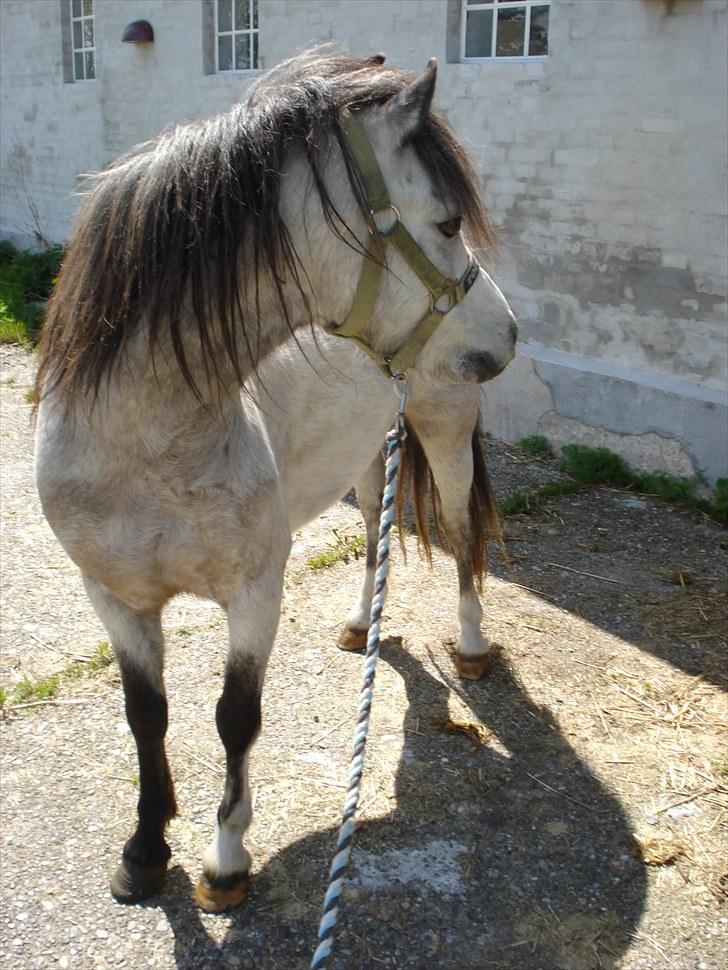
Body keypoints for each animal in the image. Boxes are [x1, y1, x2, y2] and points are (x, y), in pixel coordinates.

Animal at [34, 50, 517, 913]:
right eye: (446, 223)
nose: (508, 334)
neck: (143, 441)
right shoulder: (115, 599)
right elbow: (145, 715)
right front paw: (144, 852)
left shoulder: (256, 592)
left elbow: (236, 718)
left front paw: (226, 859)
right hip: (364, 453)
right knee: (374, 535)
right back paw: (361, 625)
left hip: (444, 427)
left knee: (462, 535)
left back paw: (470, 647)